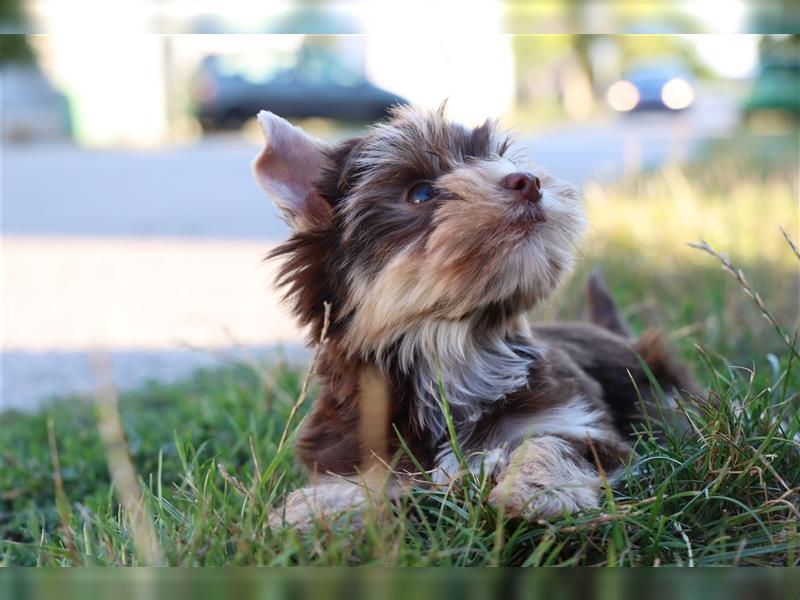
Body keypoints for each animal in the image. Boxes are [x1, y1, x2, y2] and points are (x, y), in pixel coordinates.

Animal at [252, 103, 692, 524]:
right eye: (421, 193)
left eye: (501, 159)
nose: (527, 180)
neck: (456, 350)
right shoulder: (361, 447)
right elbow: (361, 482)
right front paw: (316, 510)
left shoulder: (578, 424)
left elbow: (552, 441)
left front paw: (537, 489)